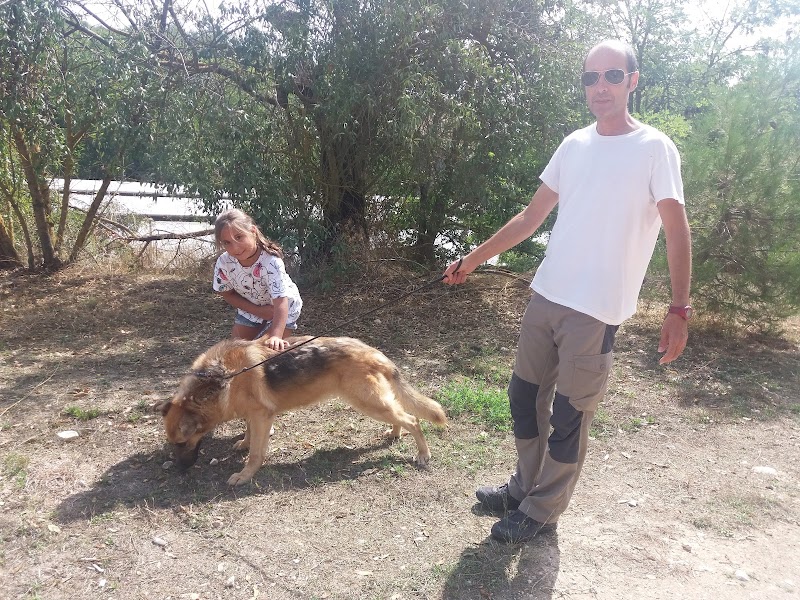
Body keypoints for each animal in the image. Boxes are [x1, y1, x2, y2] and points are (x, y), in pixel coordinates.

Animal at [155, 336, 448, 485]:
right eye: (173, 443)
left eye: (182, 443)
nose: (180, 469)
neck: (220, 378)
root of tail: (373, 352)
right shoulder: (253, 414)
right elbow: (248, 434)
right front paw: (244, 442)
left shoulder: (262, 417)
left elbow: (256, 454)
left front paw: (246, 475)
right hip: (375, 403)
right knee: (401, 415)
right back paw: (395, 433)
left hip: (368, 403)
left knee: (412, 419)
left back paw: (423, 454)